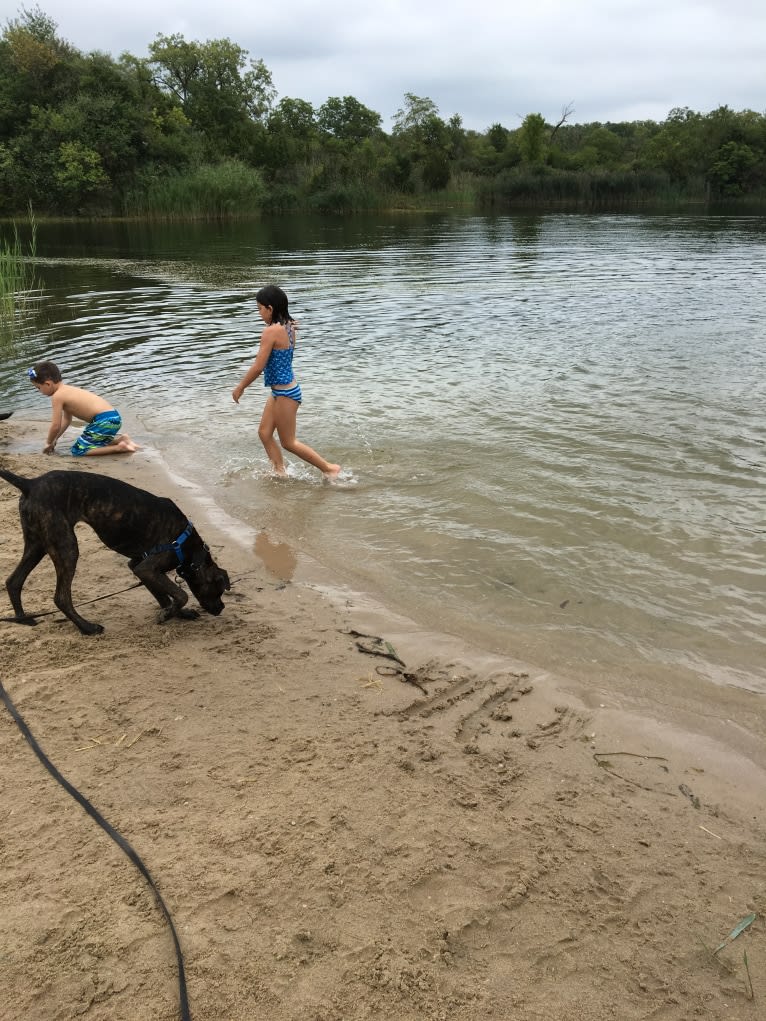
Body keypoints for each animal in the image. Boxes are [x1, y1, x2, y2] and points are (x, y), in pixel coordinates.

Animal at [0, 467, 230, 633]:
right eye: (219, 590)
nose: (221, 608)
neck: (187, 546)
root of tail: (30, 483)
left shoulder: (139, 566)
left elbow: (165, 596)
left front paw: (174, 613)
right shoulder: (148, 567)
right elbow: (180, 595)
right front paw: (168, 614)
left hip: (37, 544)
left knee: (13, 581)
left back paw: (23, 620)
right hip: (66, 547)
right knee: (61, 597)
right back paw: (87, 628)